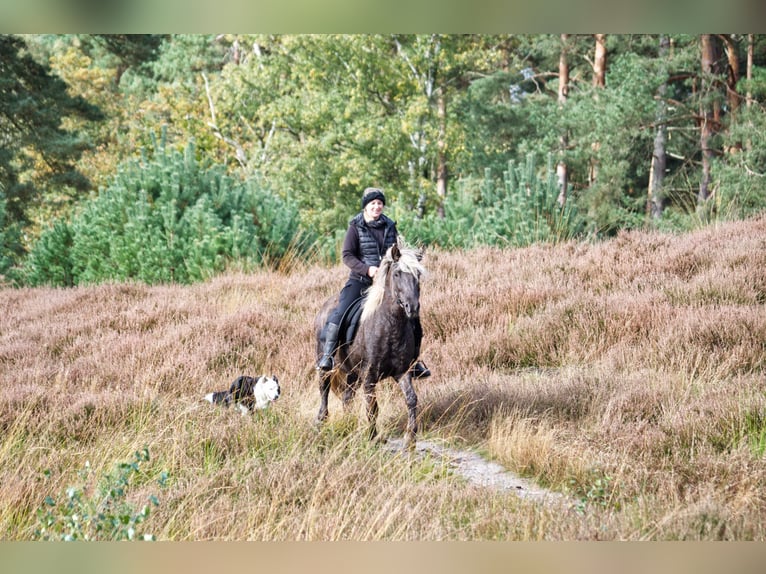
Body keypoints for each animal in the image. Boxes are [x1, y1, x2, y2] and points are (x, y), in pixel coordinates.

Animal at [316, 238, 428, 450]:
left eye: (418, 274)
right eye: (397, 273)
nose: (412, 307)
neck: (389, 326)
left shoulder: (402, 372)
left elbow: (411, 399)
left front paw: (410, 439)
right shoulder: (369, 375)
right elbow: (372, 406)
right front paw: (373, 437)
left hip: (352, 373)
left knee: (347, 398)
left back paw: (348, 425)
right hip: (326, 364)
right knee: (324, 390)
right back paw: (321, 421)